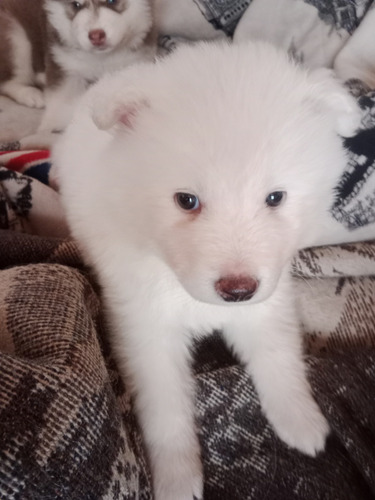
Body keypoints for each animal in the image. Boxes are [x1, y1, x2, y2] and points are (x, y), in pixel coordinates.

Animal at [0, 0, 156, 135]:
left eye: (112, 1)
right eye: (76, 4)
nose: (96, 35)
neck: (101, 58)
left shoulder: (131, 62)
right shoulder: (63, 64)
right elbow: (61, 97)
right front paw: (55, 125)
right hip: (16, 38)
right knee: (8, 81)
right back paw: (30, 94)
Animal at [54, 40, 362, 500]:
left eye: (275, 197)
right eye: (187, 200)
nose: (237, 290)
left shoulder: (267, 301)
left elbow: (279, 355)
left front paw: (300, 420)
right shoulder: (146, 329)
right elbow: (165, 408)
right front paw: (177, 478)